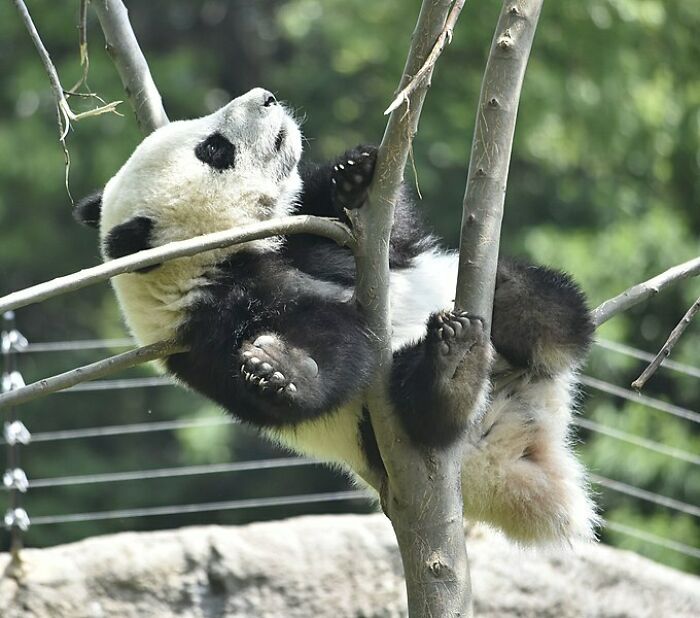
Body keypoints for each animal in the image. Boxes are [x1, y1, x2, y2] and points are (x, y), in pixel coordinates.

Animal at [75, 87, 598, 544]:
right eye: (214, 149)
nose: (265, 97)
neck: (224, 259)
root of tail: (515, 445)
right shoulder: (206, 329)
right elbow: (335, 349)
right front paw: (276, 367)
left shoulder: (314, 240)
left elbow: (387, 239)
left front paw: (353, 176)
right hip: (379, 438)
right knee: (415, 406)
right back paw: (452, 371)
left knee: (559, 314)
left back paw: (513, 302)